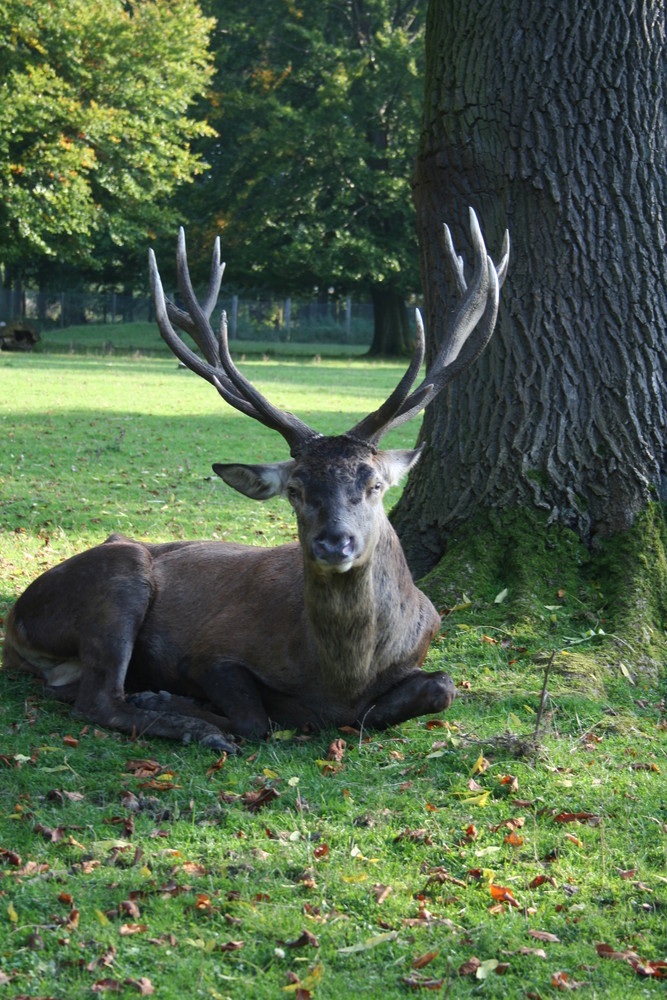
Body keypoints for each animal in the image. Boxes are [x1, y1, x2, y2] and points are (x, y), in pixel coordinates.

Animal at [2, 211, 508, 752]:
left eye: (374, 485)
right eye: (295, 490)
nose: (335, 543)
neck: (342, 676)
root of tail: (13, 624)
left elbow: (441, 688)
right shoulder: (210, 652)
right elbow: (254, 719)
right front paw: (175, 701)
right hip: (117, 578)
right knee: (98, 698)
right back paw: (192, 724)